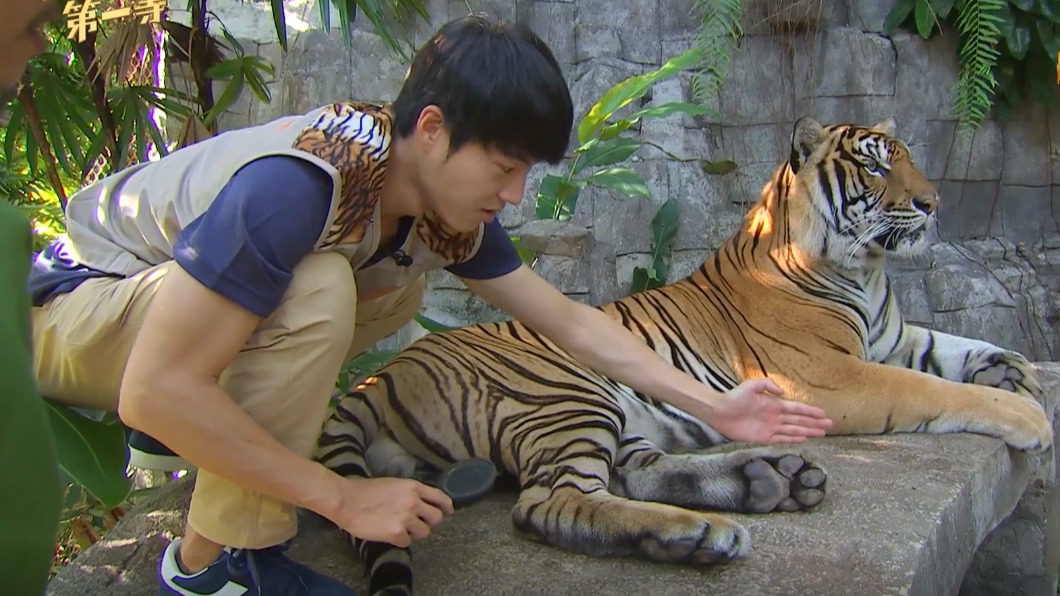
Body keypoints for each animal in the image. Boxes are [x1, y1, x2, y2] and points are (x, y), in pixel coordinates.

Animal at [313, 115, 1054, 595]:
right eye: (876, 164)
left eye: (907, 158)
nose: (932, 203)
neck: (867, 270)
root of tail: (381, 374)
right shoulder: (834, 377)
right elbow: (940, 391)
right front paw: (1029, 418)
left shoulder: (895, 340)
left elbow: (965, 348)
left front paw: (1021, 373)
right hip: (565, 390)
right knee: (554, 502)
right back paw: (702, 534)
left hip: (614, 414)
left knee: (634, 474)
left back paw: (766, 483)